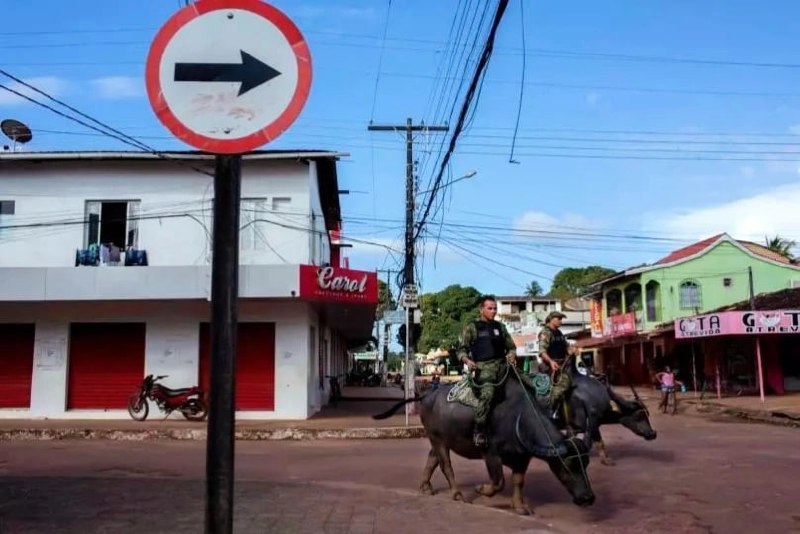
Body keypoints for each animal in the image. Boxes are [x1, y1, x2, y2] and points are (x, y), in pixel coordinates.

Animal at [374, 372, 592, 516]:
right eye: (568, 465)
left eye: (586, 463)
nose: (588, 497)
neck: (517, 417)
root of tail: (427, 395)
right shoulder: (490, 454)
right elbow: (498, 481)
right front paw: (481, 490)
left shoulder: (522, 458)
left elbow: (518, 481)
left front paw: (519, 506)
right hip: (438, 439)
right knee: (446, 465)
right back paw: (457, 494)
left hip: (438, 439)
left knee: (432, 459)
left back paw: (426, 487)